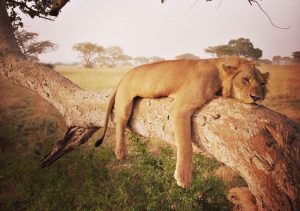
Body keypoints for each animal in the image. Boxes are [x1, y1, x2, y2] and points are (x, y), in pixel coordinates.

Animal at [95, 56, 268, 188]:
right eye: (245, 80)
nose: (257, 98)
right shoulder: (181, 107)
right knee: (120, 123)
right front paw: (183, 178)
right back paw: (121, 151)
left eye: (263, 84)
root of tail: (125, 74)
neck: (219, 73)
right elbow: (185, 144)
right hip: (125, 102)